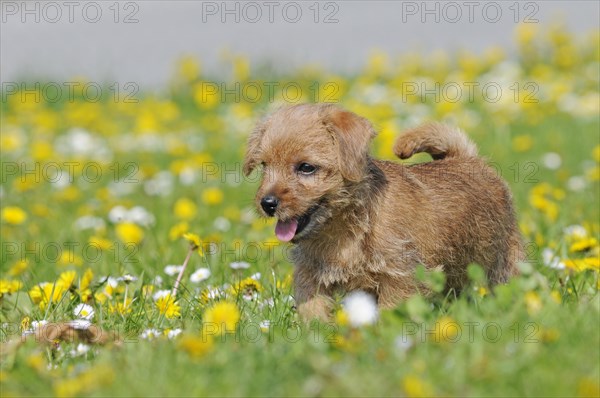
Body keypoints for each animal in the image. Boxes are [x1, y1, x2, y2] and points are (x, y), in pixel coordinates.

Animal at [243, 103, 520, 320]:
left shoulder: (400, 276)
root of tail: (467, 158)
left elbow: (390, 312)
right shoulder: (310, 274)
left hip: (503, 262)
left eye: (306, 167)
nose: (267, 203)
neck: (345, 227)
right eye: (264, 166)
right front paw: (317, 334)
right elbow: (314, 308)